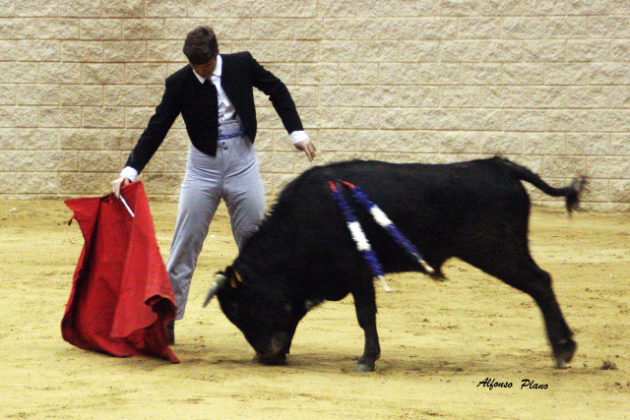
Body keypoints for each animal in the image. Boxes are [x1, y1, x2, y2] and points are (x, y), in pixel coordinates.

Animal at [205, 157, 592, 370]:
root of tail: (500, 165)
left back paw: (563, 350)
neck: (303, 219)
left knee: (540, 283)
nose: (266, 356)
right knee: (541, 284)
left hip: (499, 252)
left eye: (238, 308)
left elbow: (365, 315)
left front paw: (367, 360)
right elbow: (297, 317)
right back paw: (563, 349)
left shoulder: (356, 271)